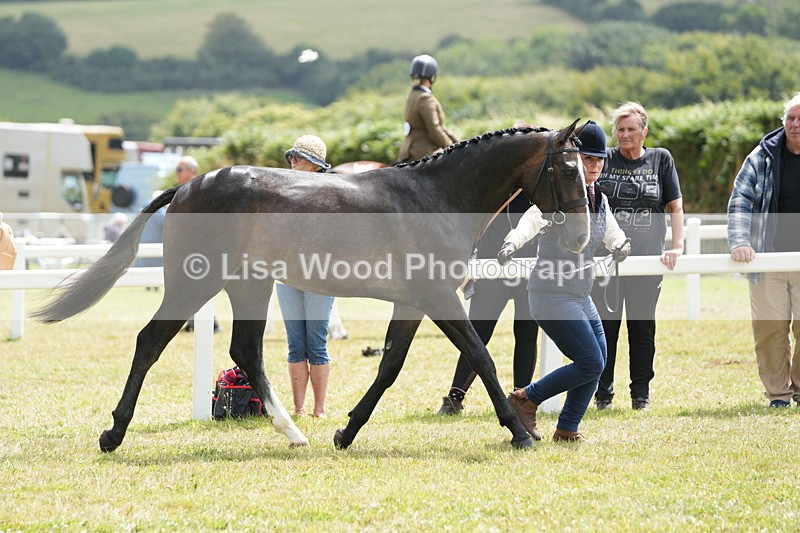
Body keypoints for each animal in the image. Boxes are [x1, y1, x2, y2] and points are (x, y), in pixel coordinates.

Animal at [33, 121, 590, 452]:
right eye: (567, 169)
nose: (581, 236)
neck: (435, 198)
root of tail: (188, 184)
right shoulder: (438, 297)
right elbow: (480, 357)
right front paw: (519, 433)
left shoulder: (412, 302)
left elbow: (390, 366)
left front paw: (346, 430)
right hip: (197, 283)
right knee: (151, 341)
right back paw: (113, 433)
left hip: (248, 287)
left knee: (246, 352)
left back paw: (294, 431)